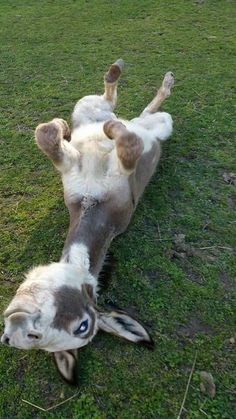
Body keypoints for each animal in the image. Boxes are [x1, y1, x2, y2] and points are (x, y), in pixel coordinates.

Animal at [0, 59, 174, 384]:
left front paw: (107, 131)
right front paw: (63, 128)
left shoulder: (122, 175)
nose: (11, 334)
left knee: (131, 113)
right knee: (125, 108)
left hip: (150, 124)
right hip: (92, 108)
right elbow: (47, 136)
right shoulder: (71, 171)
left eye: (82, 326)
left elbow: (128, 144)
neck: (93, 206)